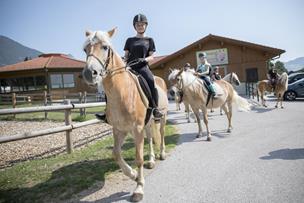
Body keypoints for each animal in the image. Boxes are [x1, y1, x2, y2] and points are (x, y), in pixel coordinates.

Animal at [82, 28, 169, 201]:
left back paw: (161, 154)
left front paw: (139, 188)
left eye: (105, 47)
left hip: (161, 118)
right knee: (150, 138)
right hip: (147, 123)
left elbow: (138, 157)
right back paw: (151, 161)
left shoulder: (137, 129)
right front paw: (133, 174)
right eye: (85, 49)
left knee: (161, 134)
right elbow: (116, 153)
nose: (90, 73)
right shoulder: (119, 129)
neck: (123, 93)